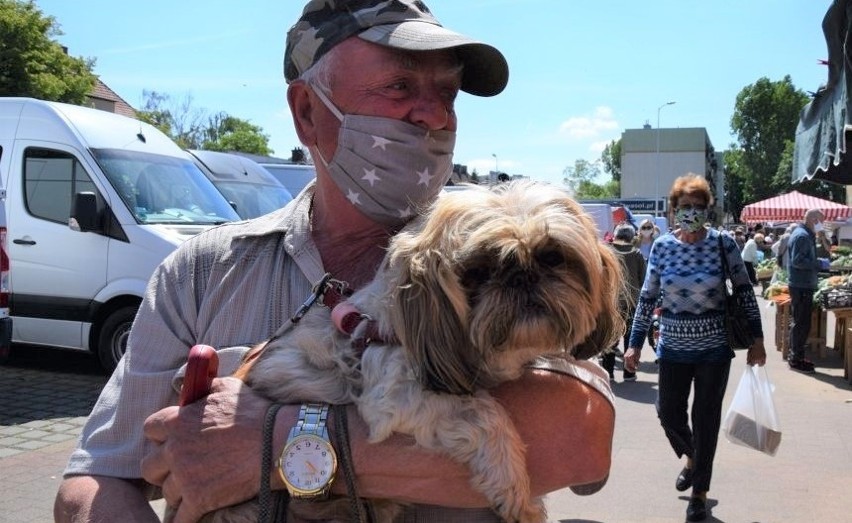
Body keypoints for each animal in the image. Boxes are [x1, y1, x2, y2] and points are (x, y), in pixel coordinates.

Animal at [204, 181, 624, 523]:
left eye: (553, 256)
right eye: (477, 271)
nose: (522, 277)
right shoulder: (398, 393)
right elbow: (485, 411)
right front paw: (516, 490)